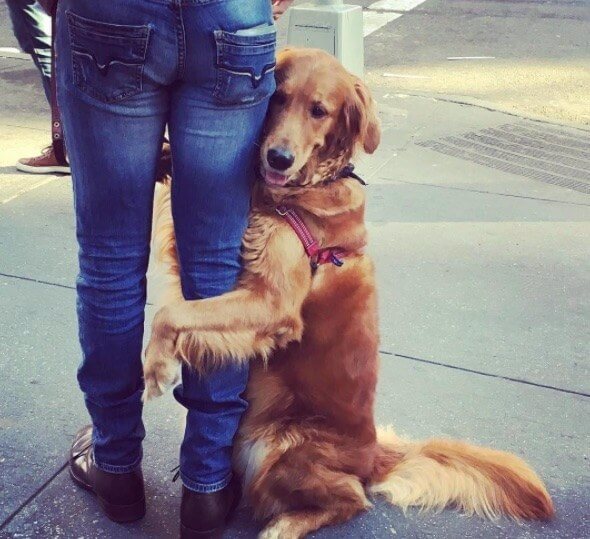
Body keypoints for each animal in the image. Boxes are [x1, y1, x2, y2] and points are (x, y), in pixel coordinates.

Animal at [143, 48, 556, 536]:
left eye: (319, 111)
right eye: (277, 98)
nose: (278, 158)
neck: (306, 188)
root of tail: (374, 454)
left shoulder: (274, 304)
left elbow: (170, 313)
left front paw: (155, 366)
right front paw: (160, 155)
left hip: (277, 448)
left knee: (352, 499)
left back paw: (284, 525)